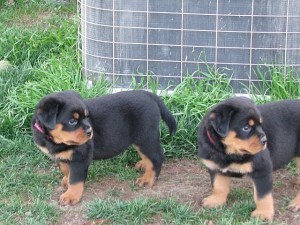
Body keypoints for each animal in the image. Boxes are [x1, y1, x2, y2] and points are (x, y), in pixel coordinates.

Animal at [31, 90, 176, 206]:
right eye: (72, 121)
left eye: (86, 117)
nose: (90, 132)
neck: (55, 141)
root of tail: (149, 94)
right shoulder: (61, 156)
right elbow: (66, 169)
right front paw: (66, 180)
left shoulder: (81, 156)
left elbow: (75, 179)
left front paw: (71, 196)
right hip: (141, 139)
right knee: (149, 156)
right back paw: (143, 165)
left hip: (145, 136)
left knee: (156, 157)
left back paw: (147, 179)